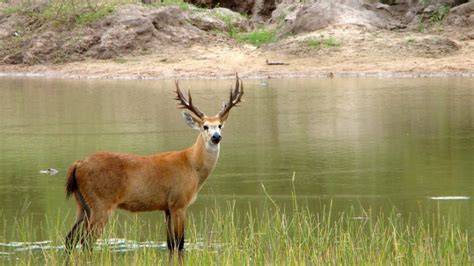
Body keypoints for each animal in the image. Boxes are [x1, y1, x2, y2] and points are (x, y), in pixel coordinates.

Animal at [64, 74, 244, 251]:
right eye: (205, 126)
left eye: (220, 125)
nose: (216, 137)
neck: (192, 165)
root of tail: (78, 164)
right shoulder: (179, 202)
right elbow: (180, 244)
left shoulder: (166, 207)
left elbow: (171, 245)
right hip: (100, 203)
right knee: (86, 242)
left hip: (82, 205)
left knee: (70, 239)